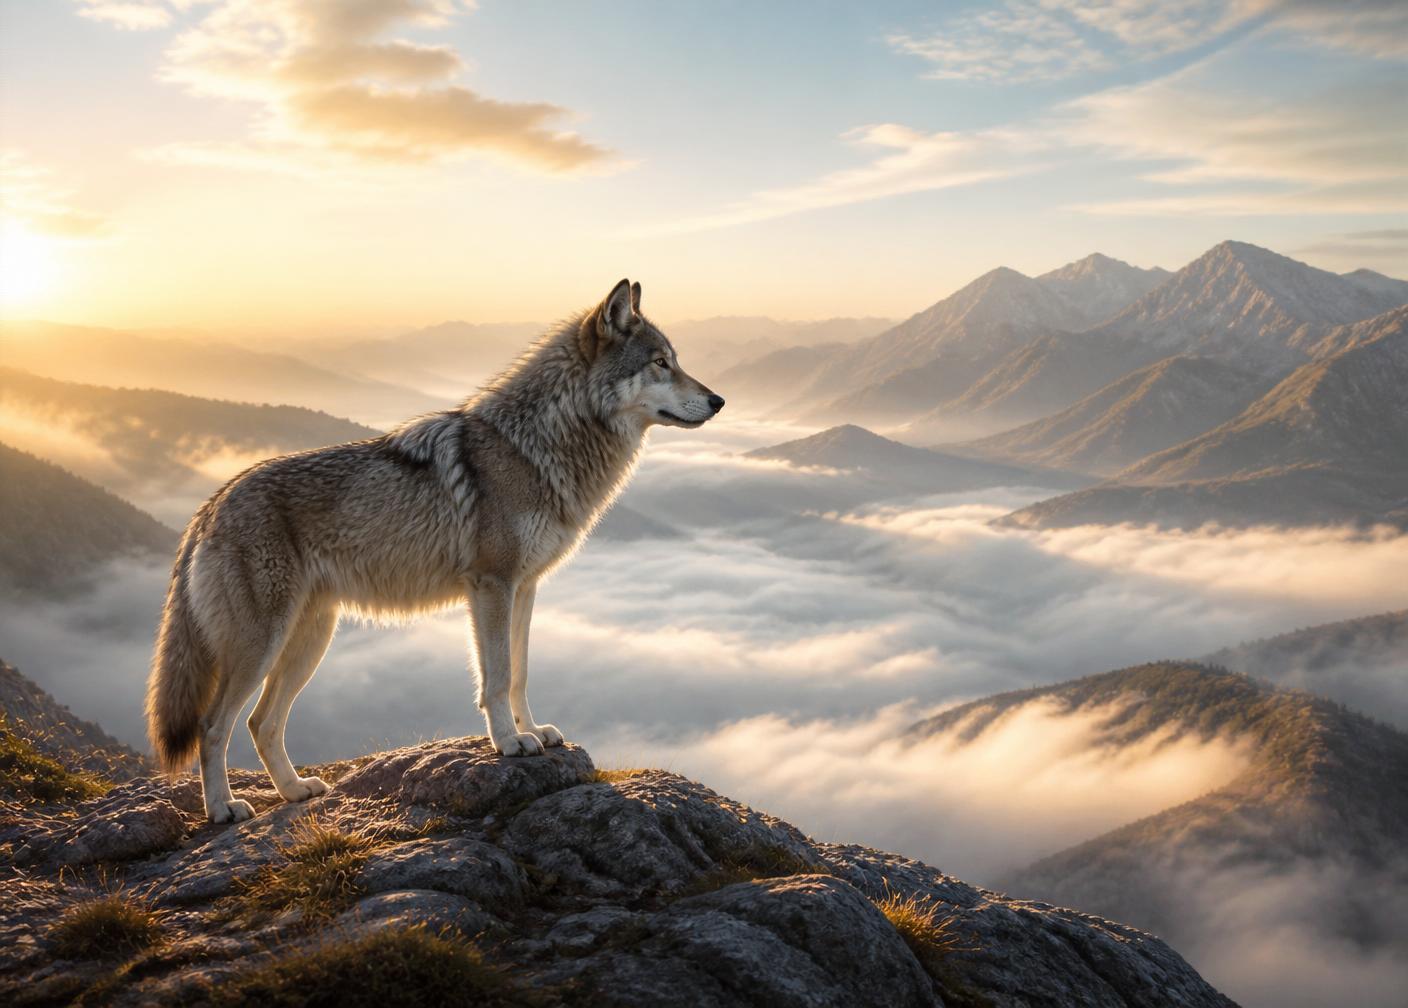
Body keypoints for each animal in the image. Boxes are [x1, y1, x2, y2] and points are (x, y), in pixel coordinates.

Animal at [146, 279, 724, 823]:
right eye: (661, 362)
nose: (719, 400)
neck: (536, 445)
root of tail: (209, 507)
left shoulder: (525, 588)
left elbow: (520, 672)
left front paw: (534, 731)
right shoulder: (491, 585)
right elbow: (495, 676)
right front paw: (509, 743)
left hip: (310, 639)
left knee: (260, 722)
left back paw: (294, 791)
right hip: (264, 645)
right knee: (213, 725)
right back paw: (223, 809)